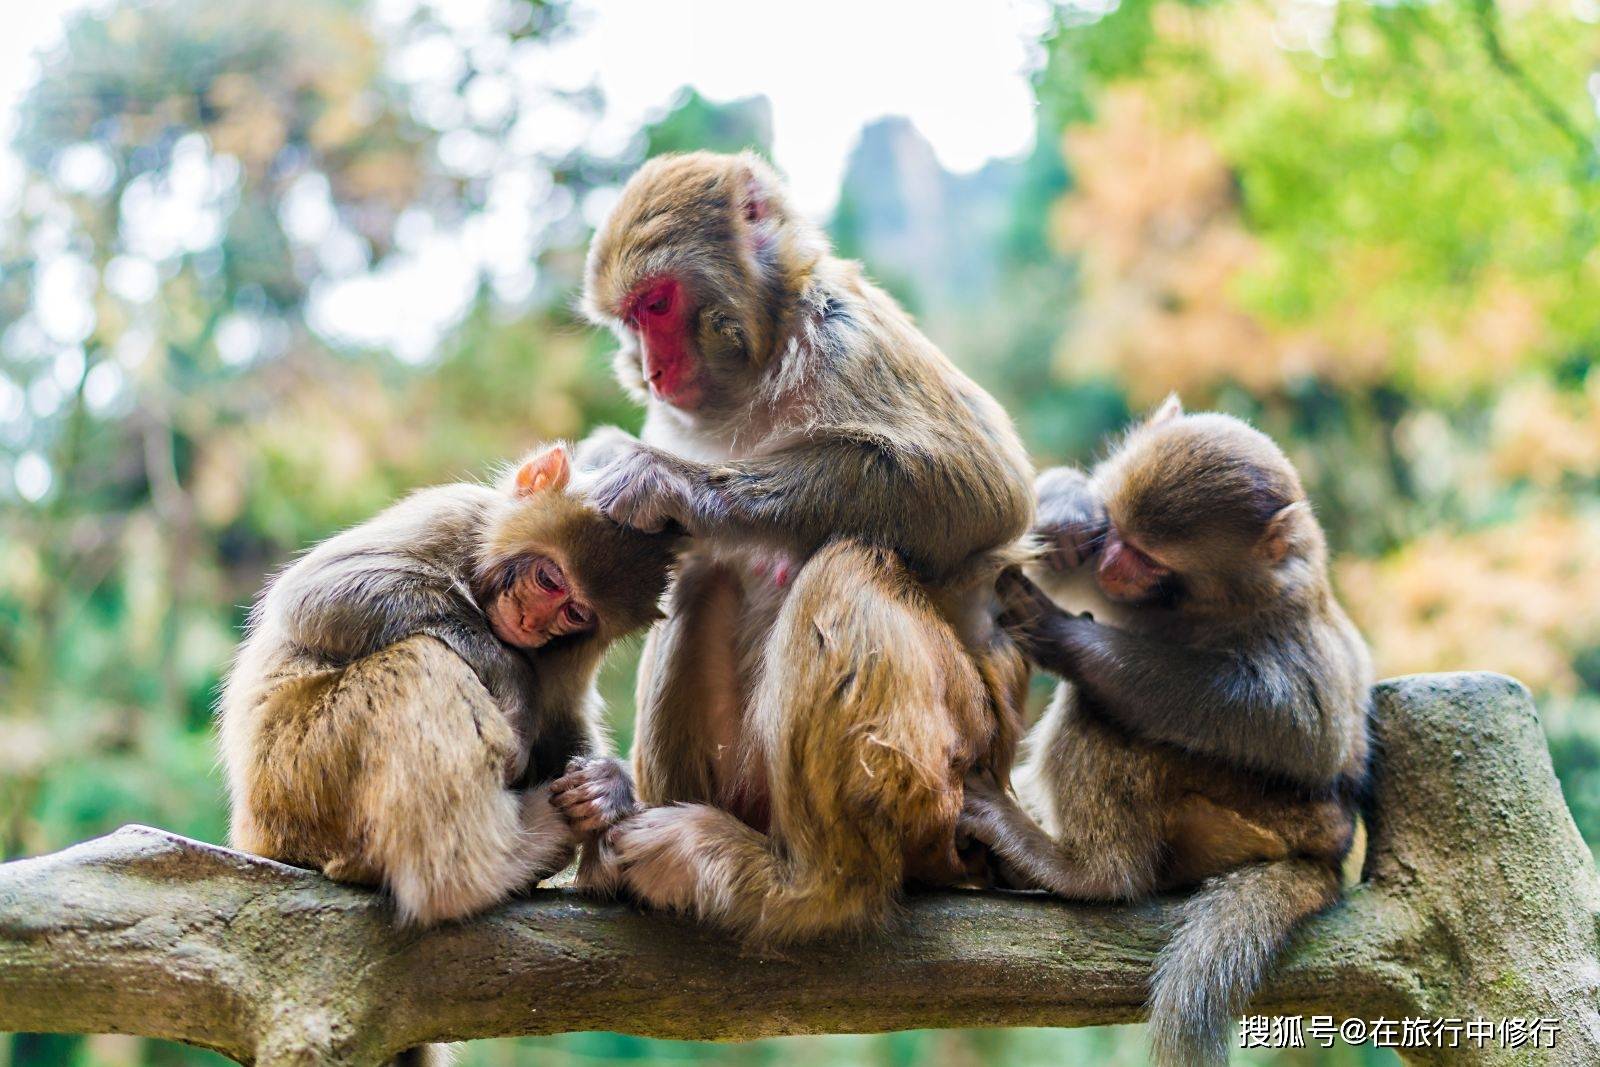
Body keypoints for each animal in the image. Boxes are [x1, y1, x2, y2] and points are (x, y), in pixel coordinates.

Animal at [219, 441, 681, 927]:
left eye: (575, 613)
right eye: (549, 580)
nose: (531, 622)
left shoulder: (579, 649)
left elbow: (563, 718)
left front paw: (606, 786)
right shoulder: (452, 513)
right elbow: (320, 592)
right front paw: (514, 677)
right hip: (295, 775)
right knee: (421, 660)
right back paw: (489, 867)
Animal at [553, 147, 1036, 940]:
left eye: (657, 304)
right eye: (629, 316)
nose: (652, 370)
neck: (756, 368)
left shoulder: (849, 333)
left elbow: (985, 489)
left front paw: (661, 479)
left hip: (950, 770)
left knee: (844, 566)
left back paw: (814, 888)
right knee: (703, 580)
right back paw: (627, 815)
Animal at [966, 396, 1369, 1062]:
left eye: (1150, 557)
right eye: (1115, 535)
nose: (1110, 563)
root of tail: (1327, 853)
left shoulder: (1282, 623)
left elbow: (1304, 730)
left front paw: (1067, 639)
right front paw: (1068, 507)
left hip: (1260, 813)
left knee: (1104, 713)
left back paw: (1090, 874)